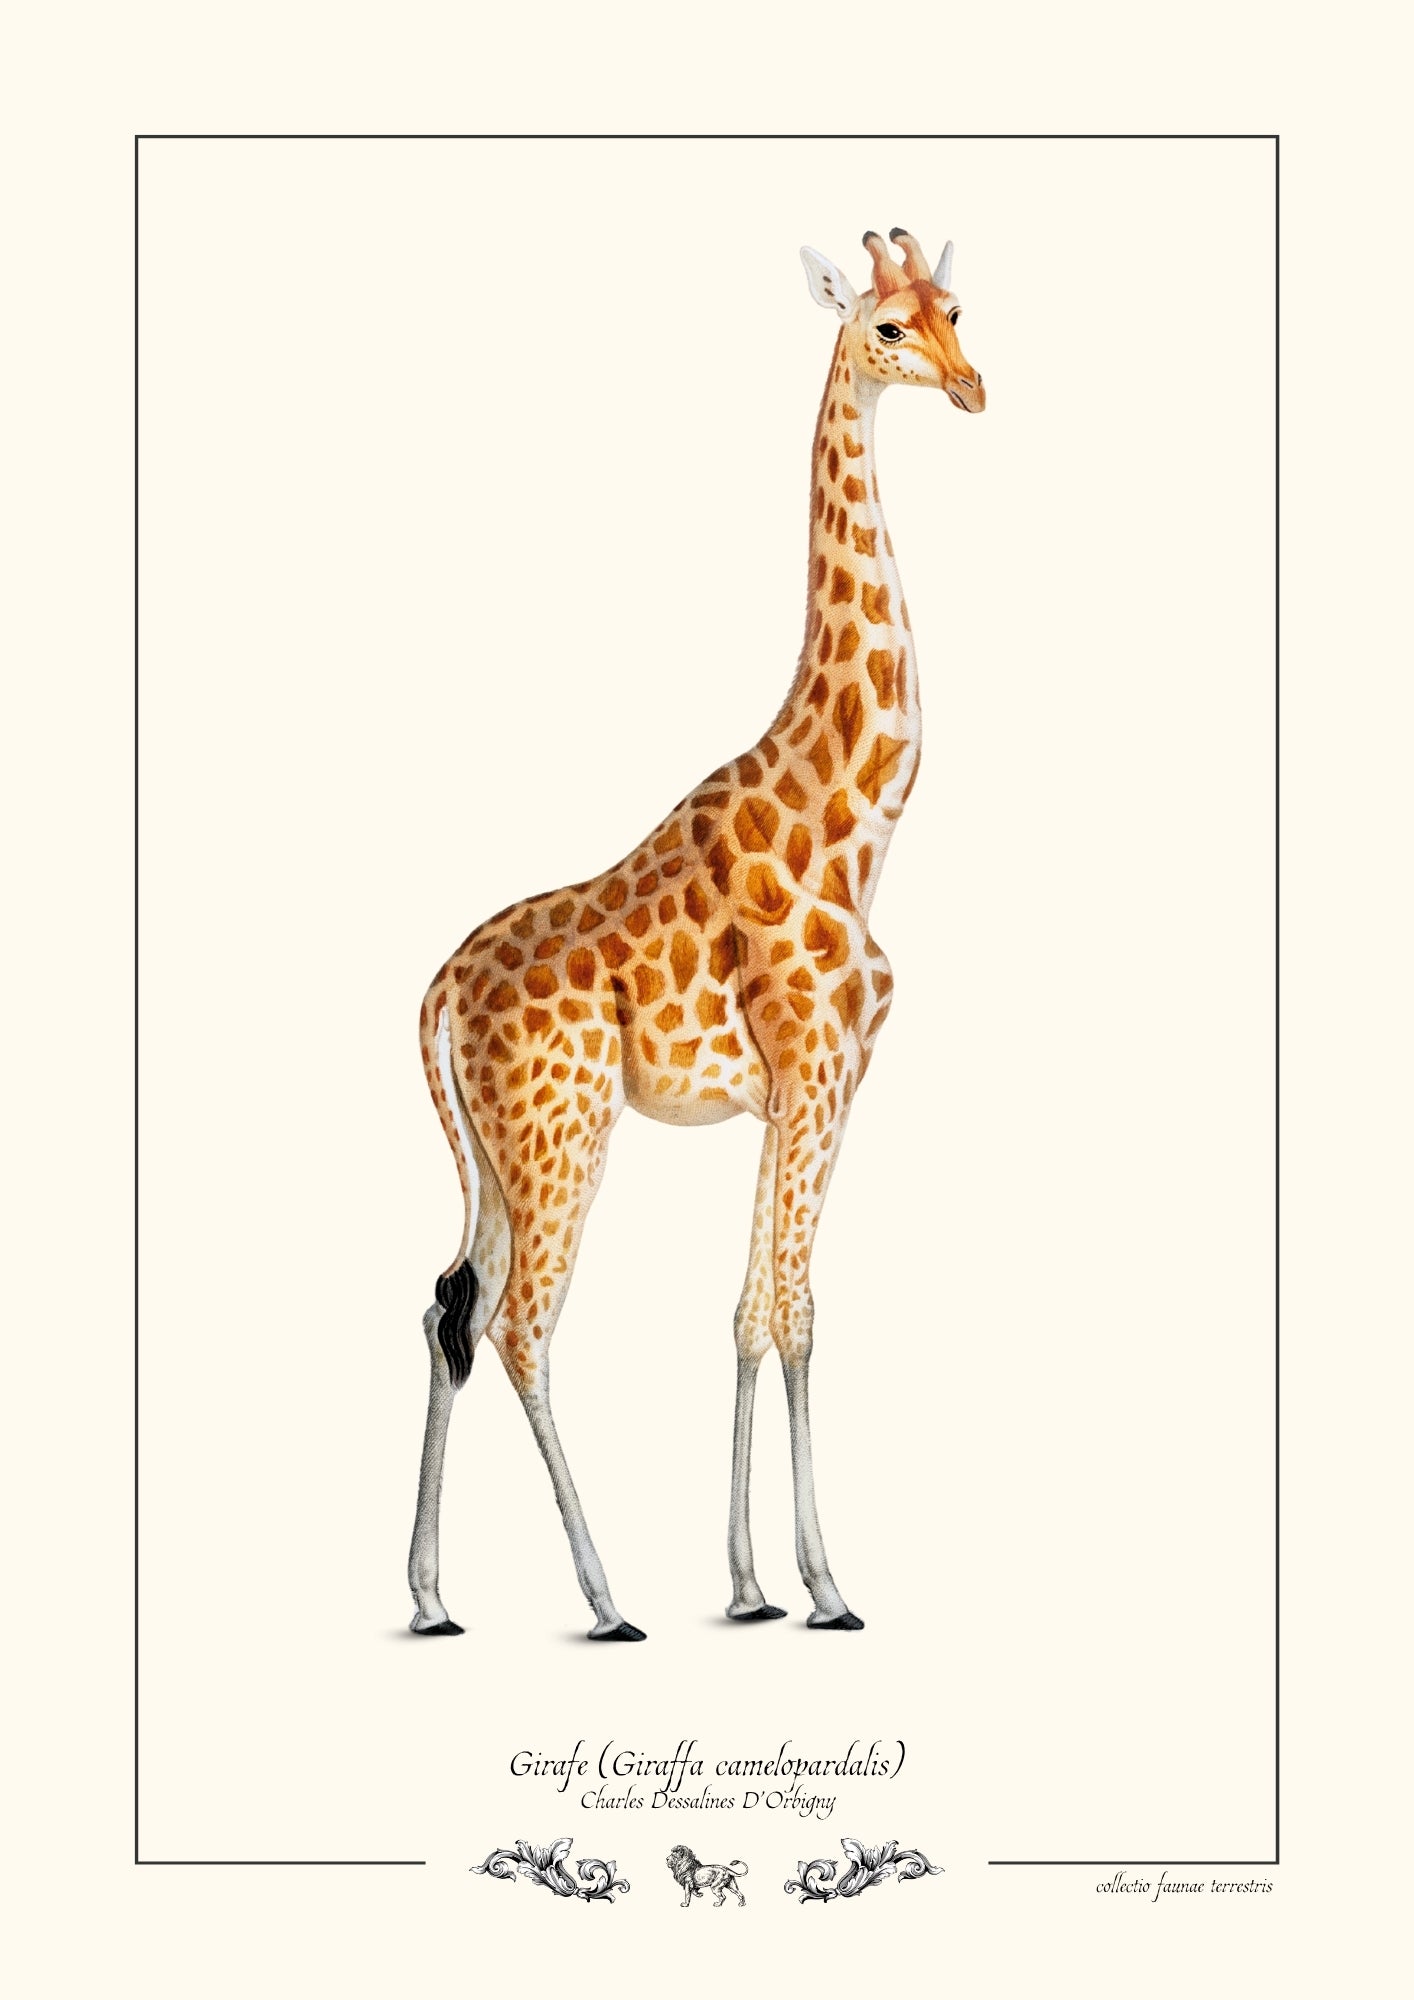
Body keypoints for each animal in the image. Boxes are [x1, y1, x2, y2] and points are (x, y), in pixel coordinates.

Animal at [409, 227, 985, 1640]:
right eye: (886, 327)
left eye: (957, 309)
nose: (971, 388)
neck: (857, 822)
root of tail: (435, 994)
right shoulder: (819, 1074)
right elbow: (796, 1312)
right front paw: (826, 1586)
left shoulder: (798, 1093)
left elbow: (752, 1309)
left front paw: (752, 1581)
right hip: (561, 1134)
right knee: (519, 1325)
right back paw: (607, 1597)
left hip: (499, 1153)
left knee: (450, 1303)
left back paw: (436, 1595)